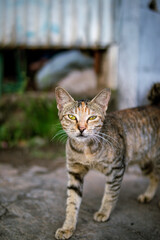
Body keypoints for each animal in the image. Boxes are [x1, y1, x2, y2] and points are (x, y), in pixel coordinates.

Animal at [54, 82, 159, 238]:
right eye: (72, 117)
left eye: (92, 117)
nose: (81, 128)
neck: (86, 150)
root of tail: (156, 105)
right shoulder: (75, 172)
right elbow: (72, 202)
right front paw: (68, 227)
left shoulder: (116, 169)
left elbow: (110, 193)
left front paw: (104, 212)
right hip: (144, 160)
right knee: (154, 176)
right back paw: (147, 195)